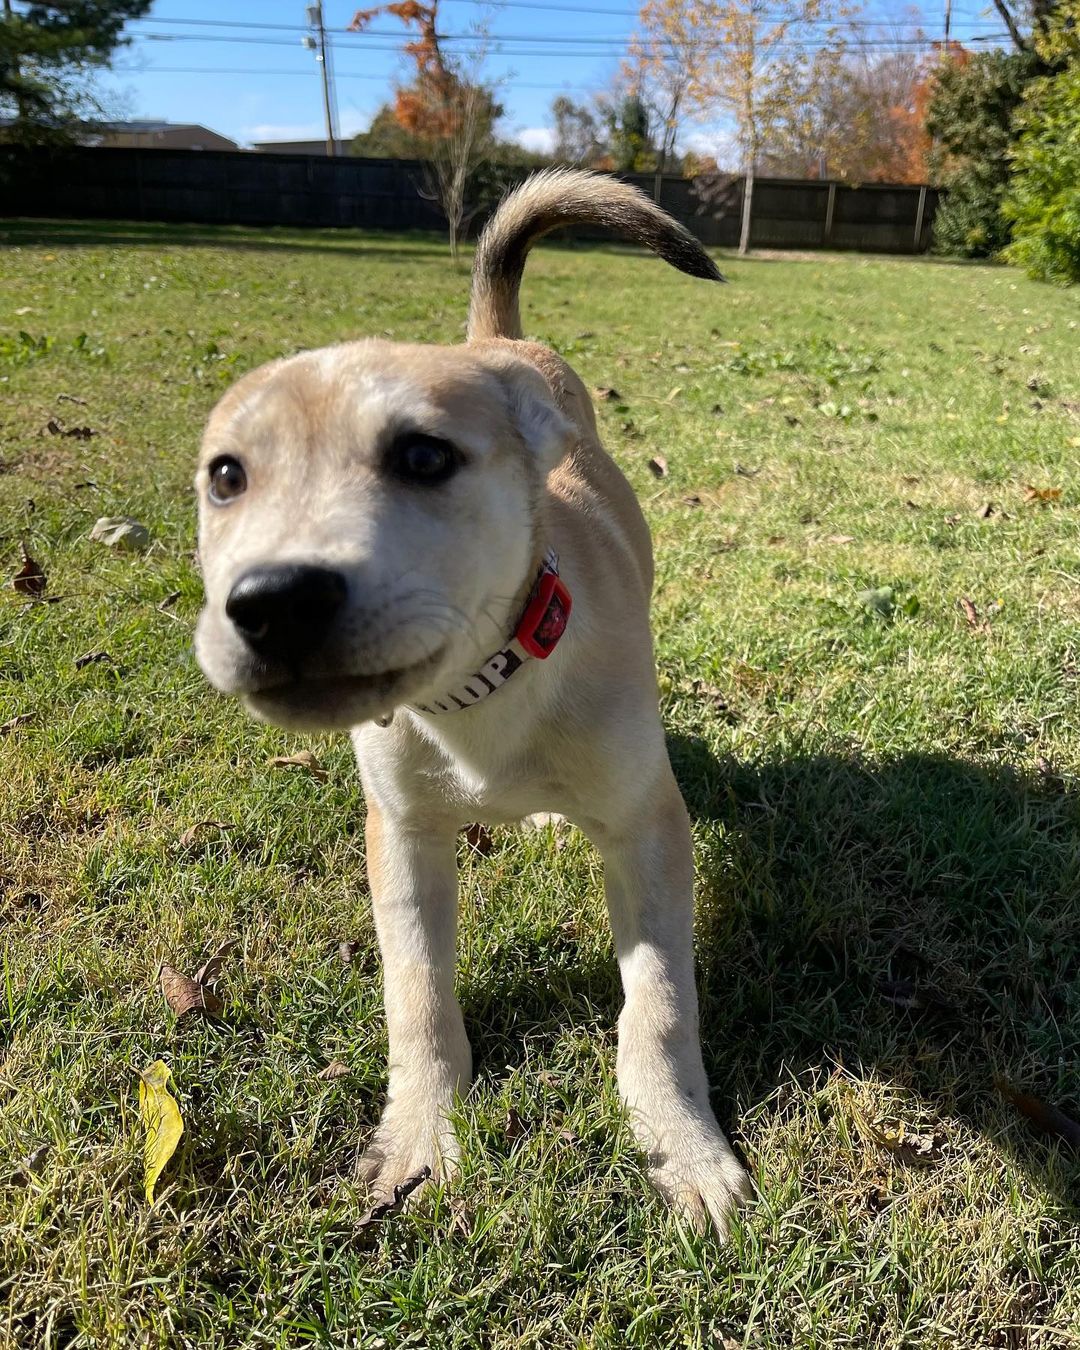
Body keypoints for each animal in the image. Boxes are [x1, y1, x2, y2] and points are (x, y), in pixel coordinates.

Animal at [194, 168, 750, 1236]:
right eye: (226, 476)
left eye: (423, 457)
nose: (273, 601)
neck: (479, 693)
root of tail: (496, 343)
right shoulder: (403, 832)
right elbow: (414, 990)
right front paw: (419, 1129)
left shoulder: (648, 826)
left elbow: (659, 1001)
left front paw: (683, 1145)